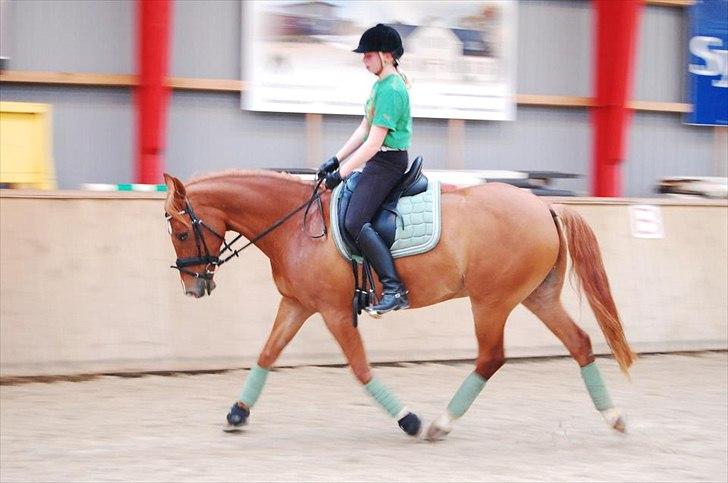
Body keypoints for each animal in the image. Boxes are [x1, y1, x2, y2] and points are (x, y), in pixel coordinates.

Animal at [162, 169, 635, 440]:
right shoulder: (297, 304)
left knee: (491, 357)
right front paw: (237, 413)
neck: (297, 224)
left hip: (491, 301)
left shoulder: (334, 311)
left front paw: (408, 420)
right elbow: (266, 354)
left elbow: (360, 368)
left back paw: (439, 425)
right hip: (537, 296)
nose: (192, 287)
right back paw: (614, 417)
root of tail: (544, 205)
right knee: (579, 343)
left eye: (182, 233)